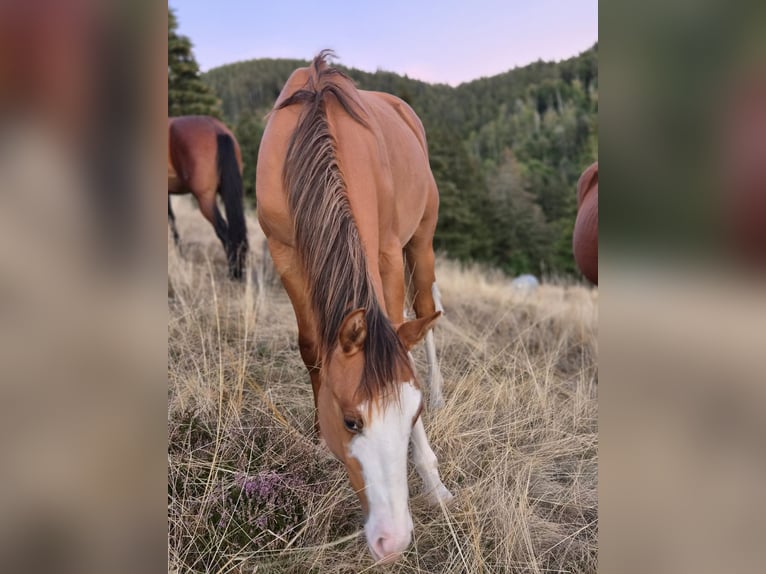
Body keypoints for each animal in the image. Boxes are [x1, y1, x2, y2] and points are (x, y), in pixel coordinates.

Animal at [256, 52, 452, 563]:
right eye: (349, 421)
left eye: (413, 416)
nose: (394, 540)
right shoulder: (285, 253)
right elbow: (311, 346)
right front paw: (320, 442)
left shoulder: (385, 253)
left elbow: (399, 330)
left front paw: (432, 478)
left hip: (421, 241)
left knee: (426, 308)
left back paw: (441, 393)